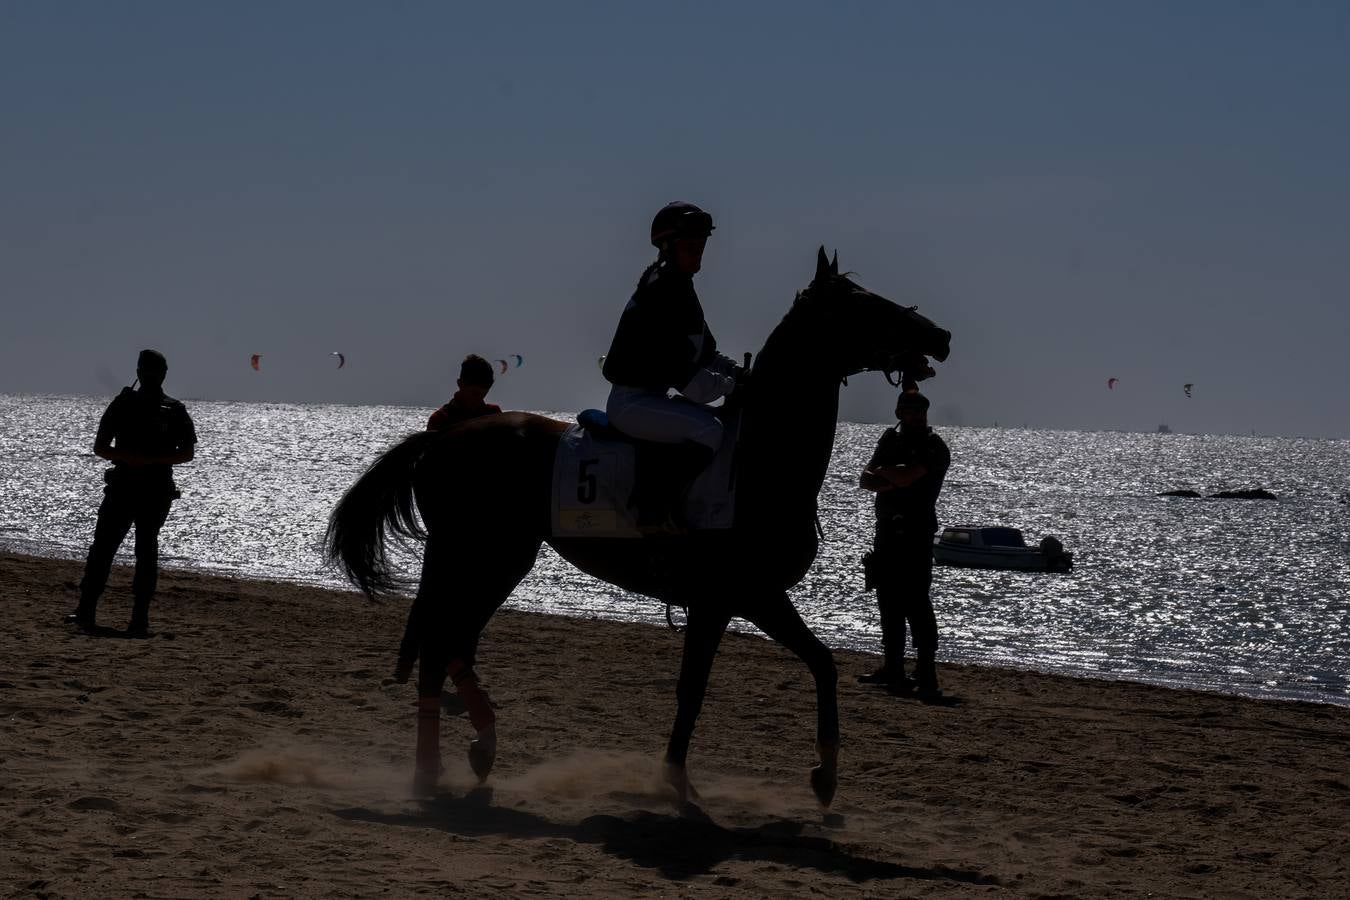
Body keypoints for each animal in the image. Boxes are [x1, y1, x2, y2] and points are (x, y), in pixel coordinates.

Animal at [325, 248, 950, 809]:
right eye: (860, 303)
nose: (939, 335)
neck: (758, 463)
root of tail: (441, 440)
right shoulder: (731, 598)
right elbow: (695, 688)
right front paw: (675, 779)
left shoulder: (752, 598)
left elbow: (821, 663)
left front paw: (824, 773)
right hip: (482, 558)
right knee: (440, 645)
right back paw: (430, 773)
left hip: (492, 561)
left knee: (450, 642)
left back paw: (478, 747)